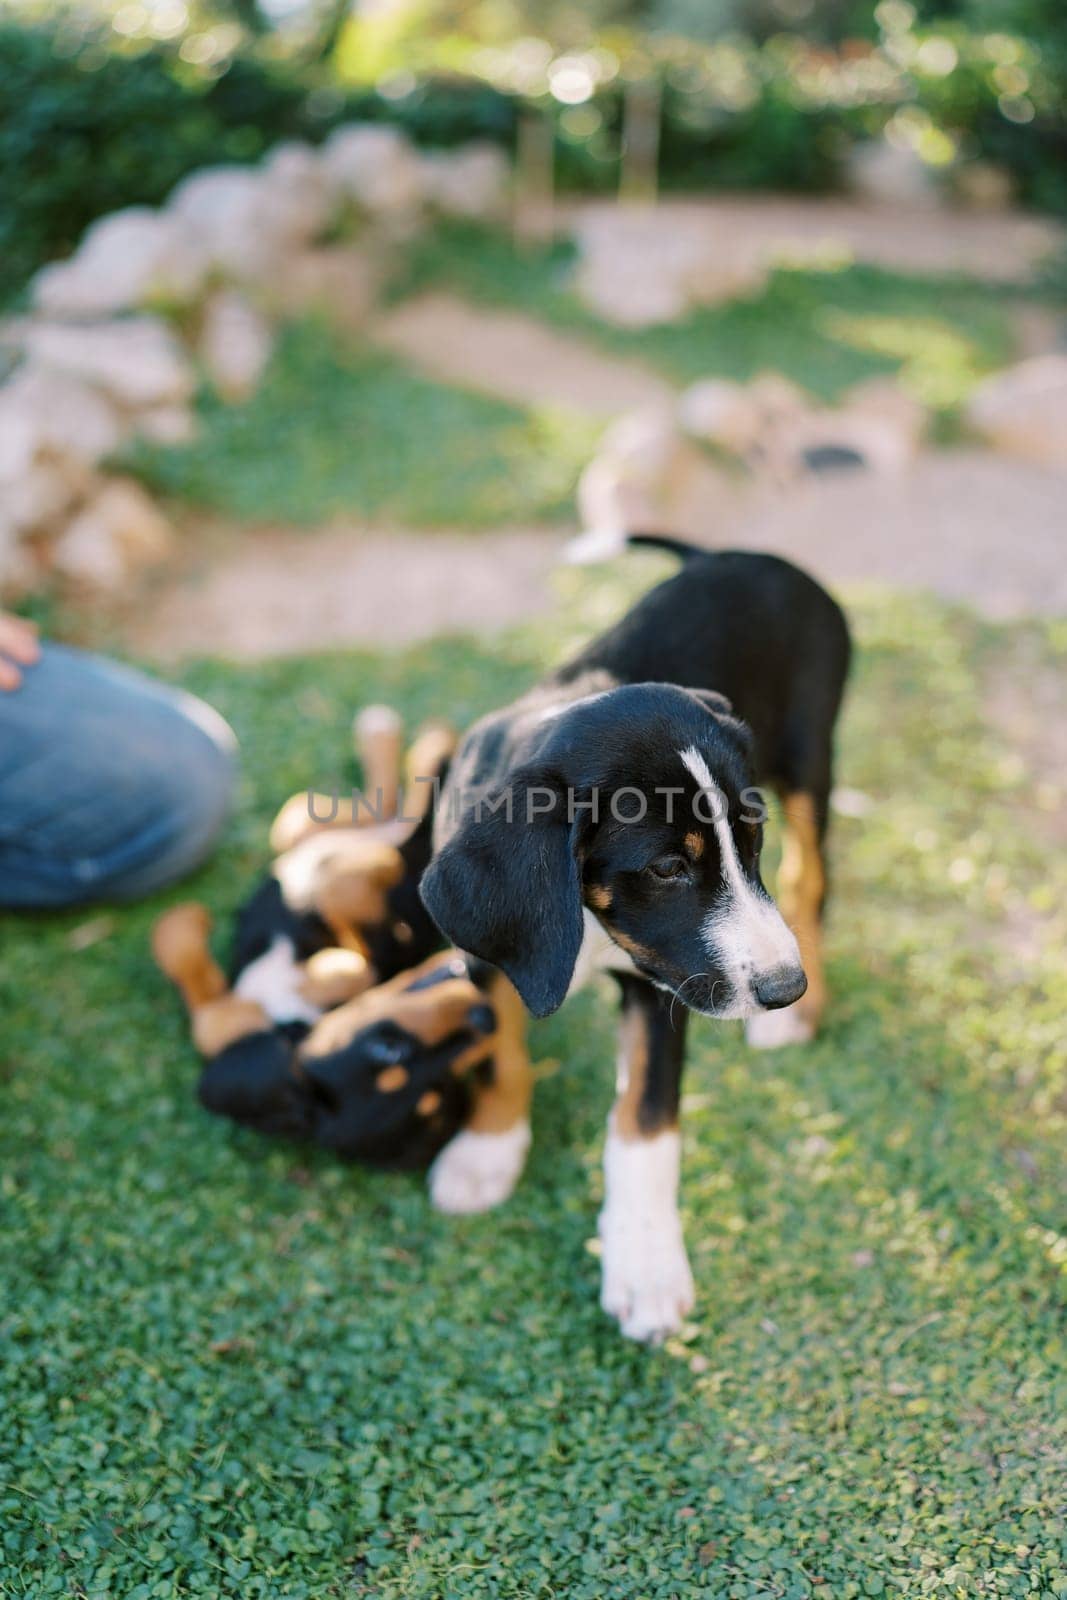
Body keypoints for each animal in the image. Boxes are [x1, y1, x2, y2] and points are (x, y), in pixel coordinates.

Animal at [415, 534, 851, 1337]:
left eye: (751, 839)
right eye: (668, 867)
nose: (786, 987)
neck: (587, 921)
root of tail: (737, 553)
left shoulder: (663, 988)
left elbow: (644, 1125)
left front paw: (646, 1266)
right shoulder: (486, 953)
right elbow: (499, 1052)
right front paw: (486, 1154)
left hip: (809, 751)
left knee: (812, 874)